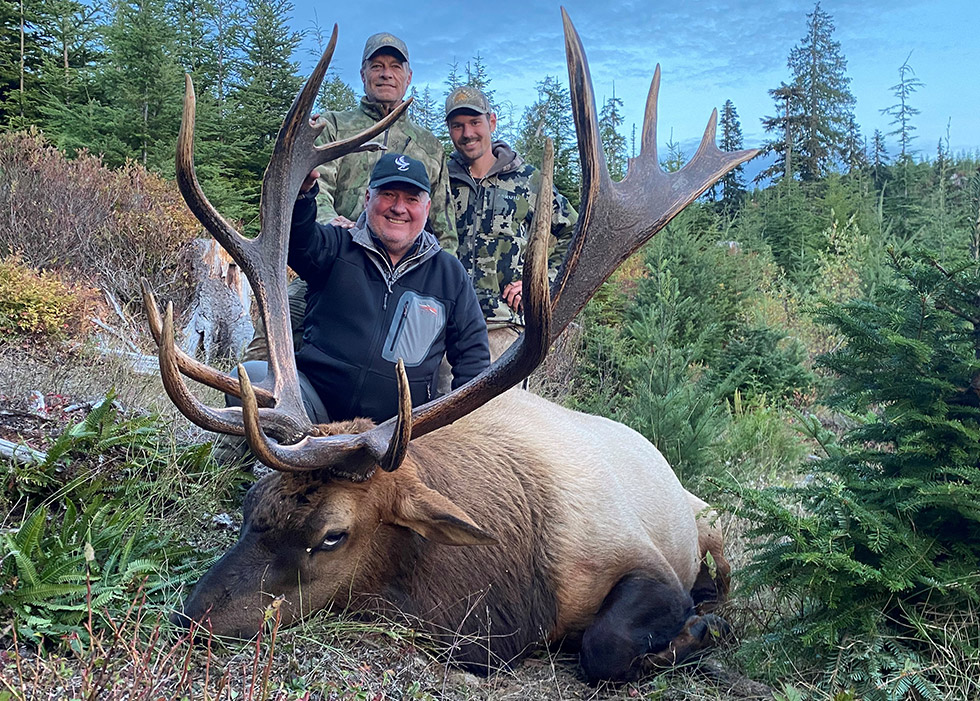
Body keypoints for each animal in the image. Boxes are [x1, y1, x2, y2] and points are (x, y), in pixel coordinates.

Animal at [148, 9, 759, 683]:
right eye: (253, 501)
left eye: (332, 534)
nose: (192, 618)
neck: (511, 597)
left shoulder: (639, 558)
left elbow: (607, 644)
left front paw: (697, 630)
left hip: (712, 527)